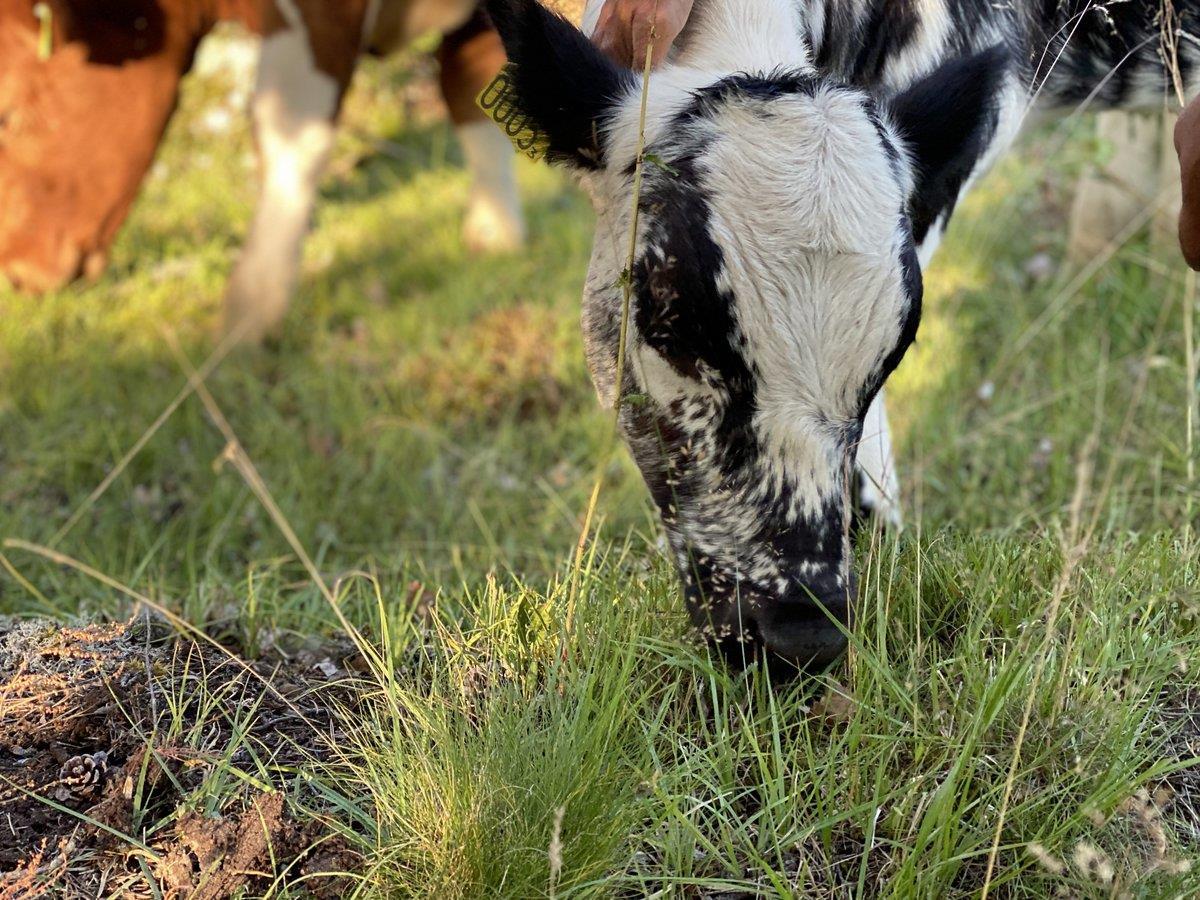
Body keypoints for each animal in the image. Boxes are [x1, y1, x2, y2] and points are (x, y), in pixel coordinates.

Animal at [1, 0, 525, 331]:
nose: (18, 273)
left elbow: (295, 127)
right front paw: (496, 232)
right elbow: (466, 85)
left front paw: (248, 315)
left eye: (5, 115)